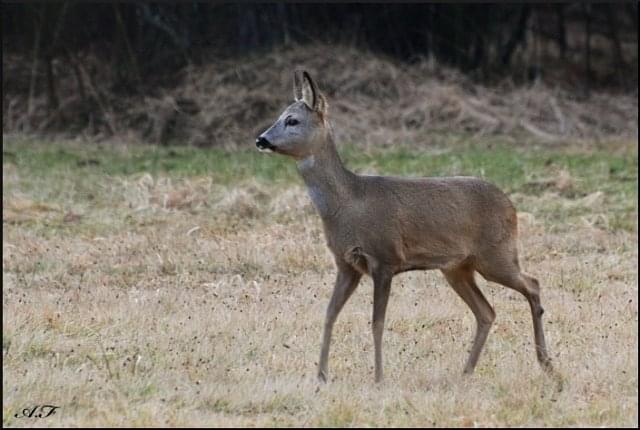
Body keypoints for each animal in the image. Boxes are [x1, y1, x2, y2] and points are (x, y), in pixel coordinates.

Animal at [255, 69, 556, 382]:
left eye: (292, 120)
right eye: (279, 116)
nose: (261, 139)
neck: (348, 202)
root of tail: (510, 204)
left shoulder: (384, 258)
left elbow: (377, 322)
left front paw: (378, 377)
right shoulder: (346, 264)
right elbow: (329, 314)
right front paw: (321, 375)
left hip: (496, 254)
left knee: (532, 284)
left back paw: (545, 362)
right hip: (457, 267)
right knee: (487, 311)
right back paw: (466, 372)